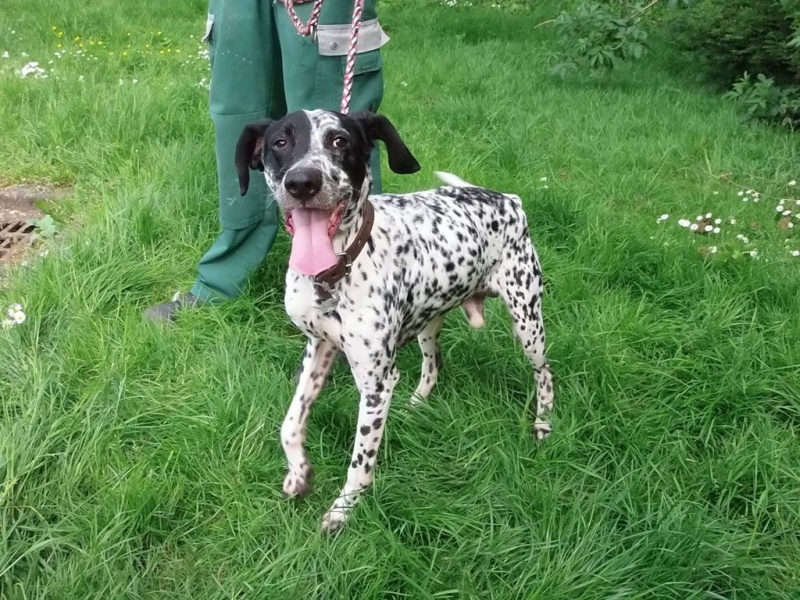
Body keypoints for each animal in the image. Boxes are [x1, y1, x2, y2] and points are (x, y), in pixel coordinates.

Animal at [234, 110, 552, 532]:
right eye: (280, 143)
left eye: (340, 141)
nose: (302, 182)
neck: (334, 272)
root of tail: (508, 199)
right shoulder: (318, 350)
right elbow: (289, 424)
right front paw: (298, 474)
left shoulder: (376, 384)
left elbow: (360, 462)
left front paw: (343, 509)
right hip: (429, 323)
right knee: (434, 364)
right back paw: (416, 404)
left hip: (528, 321)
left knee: (544, 374)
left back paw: (543, 424)